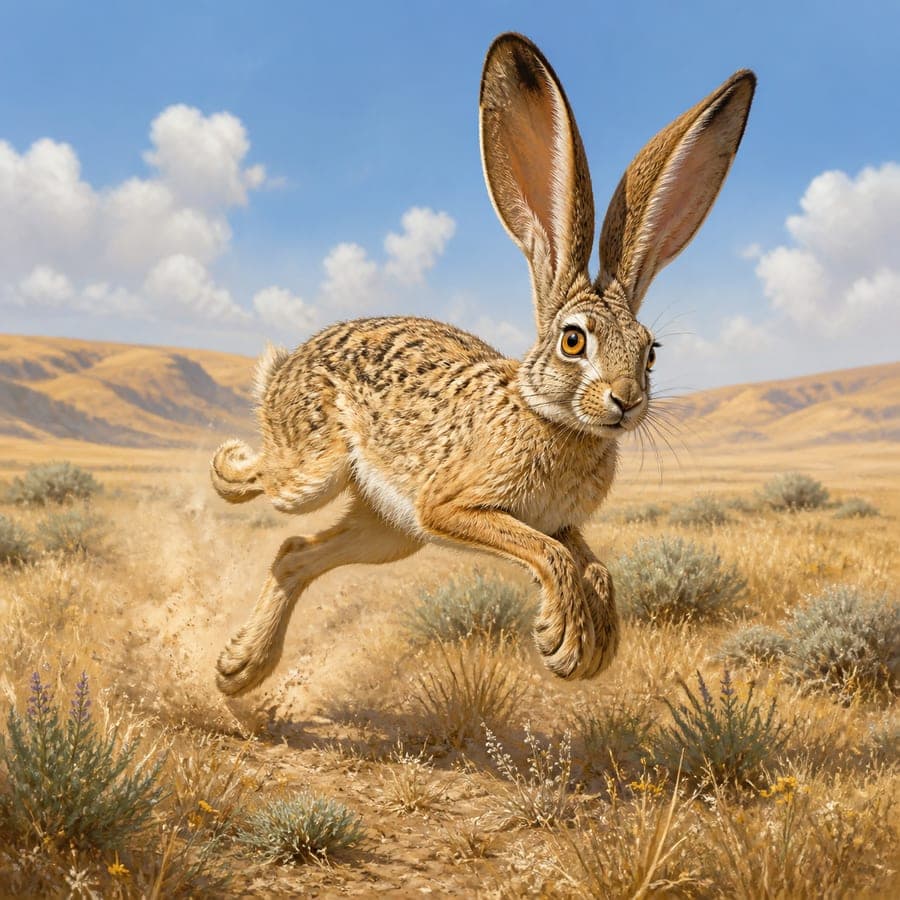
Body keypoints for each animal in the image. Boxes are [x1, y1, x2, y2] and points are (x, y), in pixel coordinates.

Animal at [210, 32, 755, 697]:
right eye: (573, 341)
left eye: (651, 351)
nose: (625, 401)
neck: (550, 418)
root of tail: (288, 366)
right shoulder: (452, 506)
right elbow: (549, 556)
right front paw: (562, 638)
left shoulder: (556, 522)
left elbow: (593, 566)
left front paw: (592, 643)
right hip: (319, 473)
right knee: (270, 486)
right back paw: (231, 472)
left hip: (389, 533)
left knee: (295, 551)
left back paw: (239, 670)